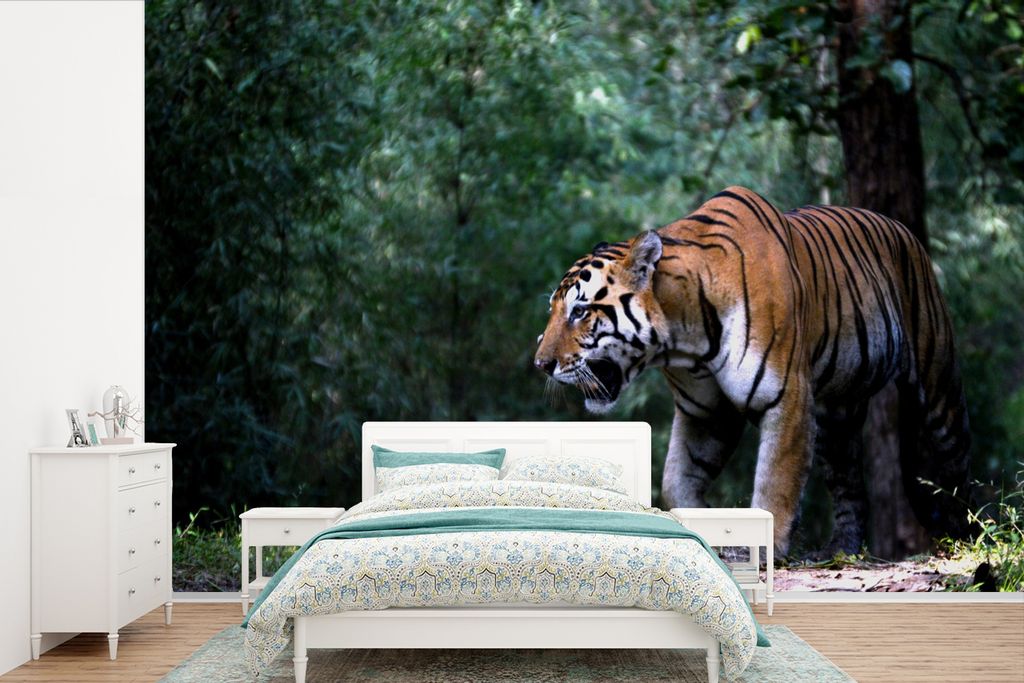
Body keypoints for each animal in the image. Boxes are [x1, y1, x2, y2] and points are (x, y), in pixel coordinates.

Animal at [534, 186, 971, 555]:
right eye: (554, 309)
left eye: (580, 311)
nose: (540, 364)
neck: (684, 339)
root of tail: (902, 228)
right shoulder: (705, 413)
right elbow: (676, 481)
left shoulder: (786, 400)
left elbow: (775, 487)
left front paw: (762, 551)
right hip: (836, 419)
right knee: (849, 485)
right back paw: (840, 551)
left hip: (936, 386)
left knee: (956, 463)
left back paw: (965, 538)